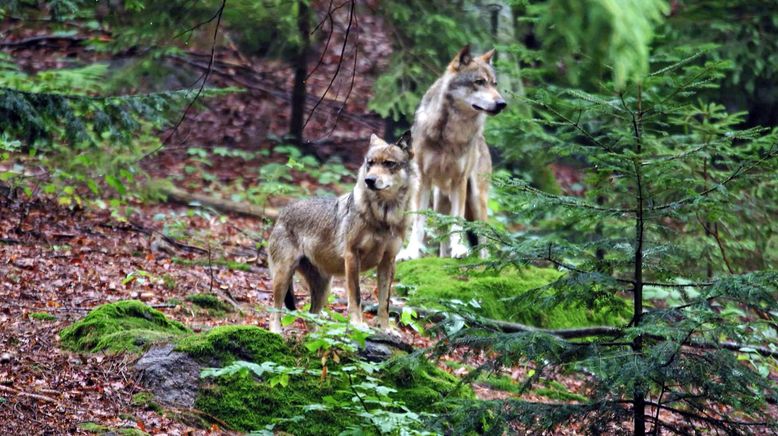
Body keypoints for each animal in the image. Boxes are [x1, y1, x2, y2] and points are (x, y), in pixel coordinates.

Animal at [266, 131, 416, 332]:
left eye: (389, 163)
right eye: (370, 163)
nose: (369, 180)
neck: (384, 216)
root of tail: (282, 213)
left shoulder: (388, 261)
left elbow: (385, 302)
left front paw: (385, 329)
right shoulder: (352, 256)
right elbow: (356, 296)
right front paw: (358, 325)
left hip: (324, 287)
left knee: (311, 317)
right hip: (283, 275)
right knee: (275, 309)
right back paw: (276, 332)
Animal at [398, 45, 506, 260]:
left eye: (494, 84)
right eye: (479, 82)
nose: (502, 103)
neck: (450, 133)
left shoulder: (459, 180)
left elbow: (458, 221)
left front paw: (460, 249)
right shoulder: (422, 179)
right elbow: (418, 223)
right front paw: (411, 252)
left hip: (477, 199)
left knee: (483, 237)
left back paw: (483, 261)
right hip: (440, 201)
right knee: (443, 234)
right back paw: (443, 257)